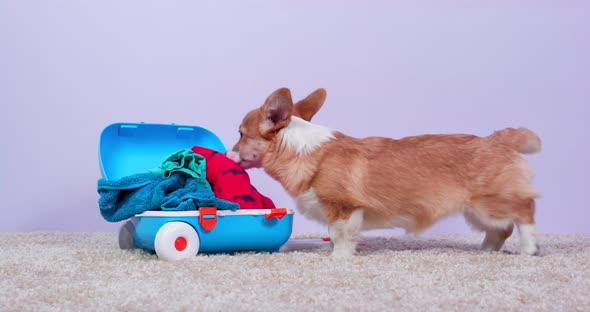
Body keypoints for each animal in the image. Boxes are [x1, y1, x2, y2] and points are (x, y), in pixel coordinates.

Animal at [229, 87, 544, 256]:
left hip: (491, 203)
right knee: (501, 230)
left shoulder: (342, 208)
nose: (228, 154)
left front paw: (338, 257)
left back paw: (529, 248)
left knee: (525, 210)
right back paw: (486, 250)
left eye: (241, 134)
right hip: (477, 212)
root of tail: (498, 139)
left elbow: (340, 234)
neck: (301, 149)